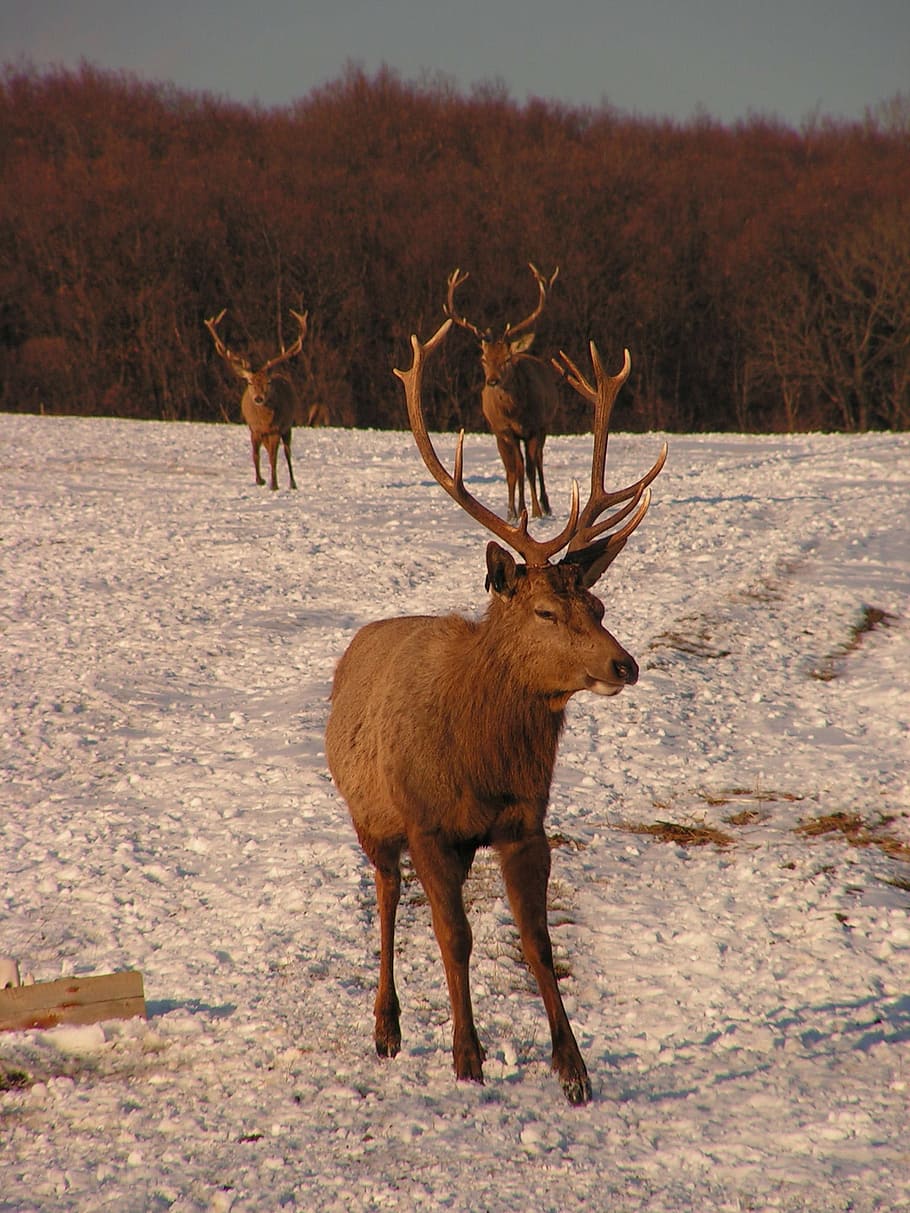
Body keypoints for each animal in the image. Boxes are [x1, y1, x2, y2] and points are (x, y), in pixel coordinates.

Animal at [204, 308, 307, 490]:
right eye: (250, 382)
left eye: (268, 382)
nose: (259, 398)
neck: (264, 422)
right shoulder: (254, 429)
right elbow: (255, 455)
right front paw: (260, 480)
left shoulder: (276, 429)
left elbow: (273, 458)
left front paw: (274, 484)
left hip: (287, 427)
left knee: (287, 452)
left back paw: (292, 483)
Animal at [325, 317, 667, 1105]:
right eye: (545, 610)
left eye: (598, 605)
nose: (624, 665)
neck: (480, 760)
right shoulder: (427, 825)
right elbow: (455, 938)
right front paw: (466, 1055)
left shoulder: (524, 822)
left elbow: (537, 940)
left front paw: (574, 1068)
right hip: (371, 816)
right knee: (387, 897)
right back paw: (386, 1027)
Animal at [445, 263, 560, 521]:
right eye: (484, 359)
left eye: (507, 359)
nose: (493, 381)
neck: (515, 412)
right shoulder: (503, 430)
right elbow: (514, 470)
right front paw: (514, 512)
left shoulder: (535, 427)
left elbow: (529, 468)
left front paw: (535, 510)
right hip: (502, 435)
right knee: (513, 467)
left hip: (545, 424)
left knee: (538, 462)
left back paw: (545, 505)